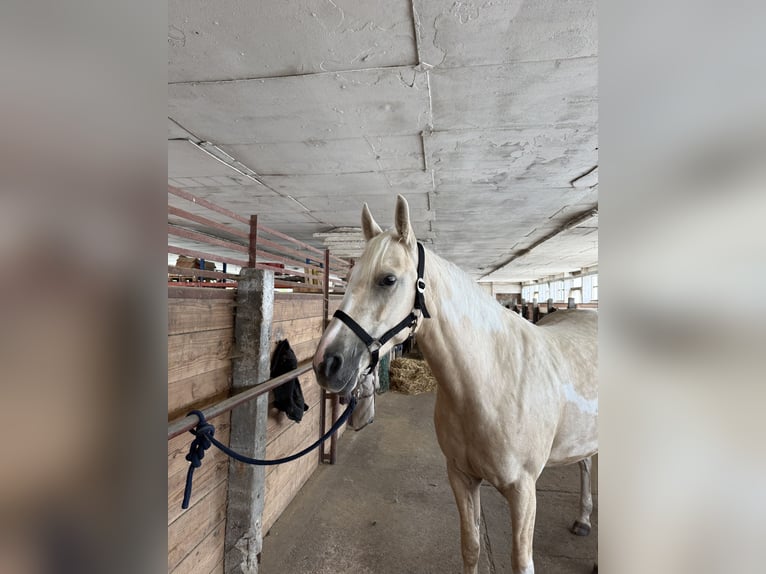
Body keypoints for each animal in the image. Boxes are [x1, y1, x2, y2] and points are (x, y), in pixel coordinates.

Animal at [313, 195, 597, 574]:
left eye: (388, 279)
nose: (326, 363)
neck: (491, 381)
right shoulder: (460, 477)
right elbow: (471, 546)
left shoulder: (523, 491)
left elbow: (521, 562)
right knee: (585, 463)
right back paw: (583, 520)